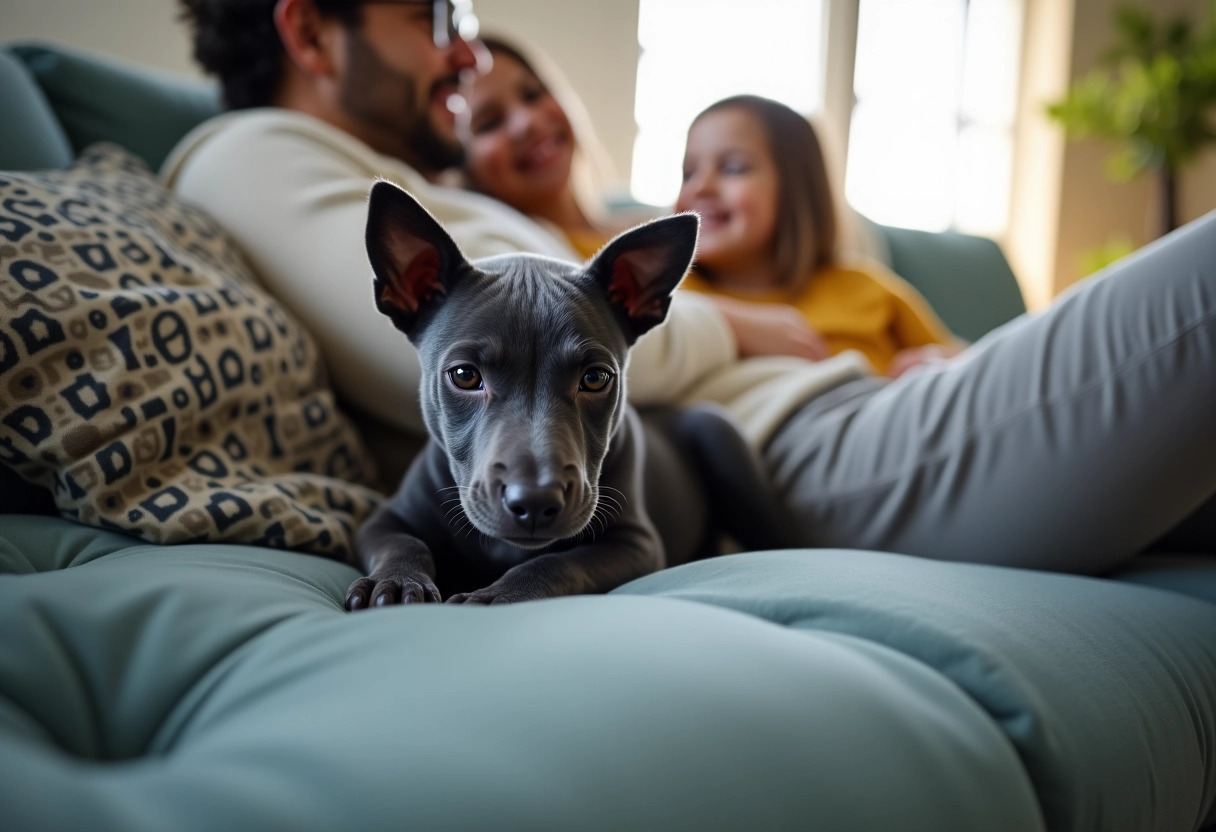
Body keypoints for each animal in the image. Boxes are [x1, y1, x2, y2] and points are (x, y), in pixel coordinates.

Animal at [347, 182, 792, 608]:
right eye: (464, 376)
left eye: (595, 379)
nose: (534, 501)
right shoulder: (384, 519)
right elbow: (402, 543)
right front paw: (396, 581)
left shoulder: (635, 544)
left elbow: (558, 563)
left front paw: (499, 595)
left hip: (725, 444)